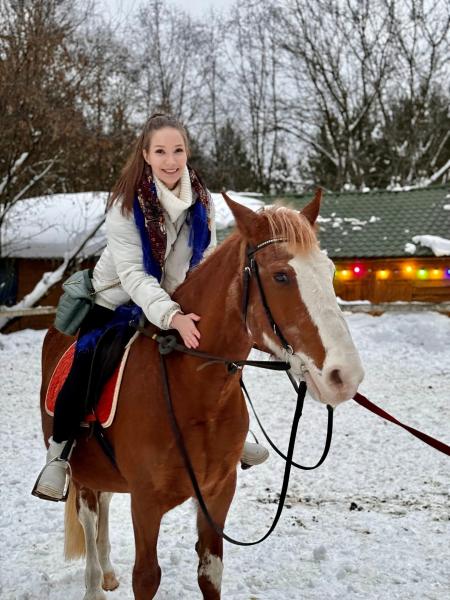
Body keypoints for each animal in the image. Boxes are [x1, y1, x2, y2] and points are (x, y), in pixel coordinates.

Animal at [37, 192, 362, 600]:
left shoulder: (217, 495)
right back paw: (95, 584)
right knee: (89, 513)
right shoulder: (146, 502)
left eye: (329, 271)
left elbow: (210, 573)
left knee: (105, 504)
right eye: (281, 276)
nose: (345, 376)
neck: (193, 393)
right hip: (80, 470)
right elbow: (146, 577)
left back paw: (108, 573)